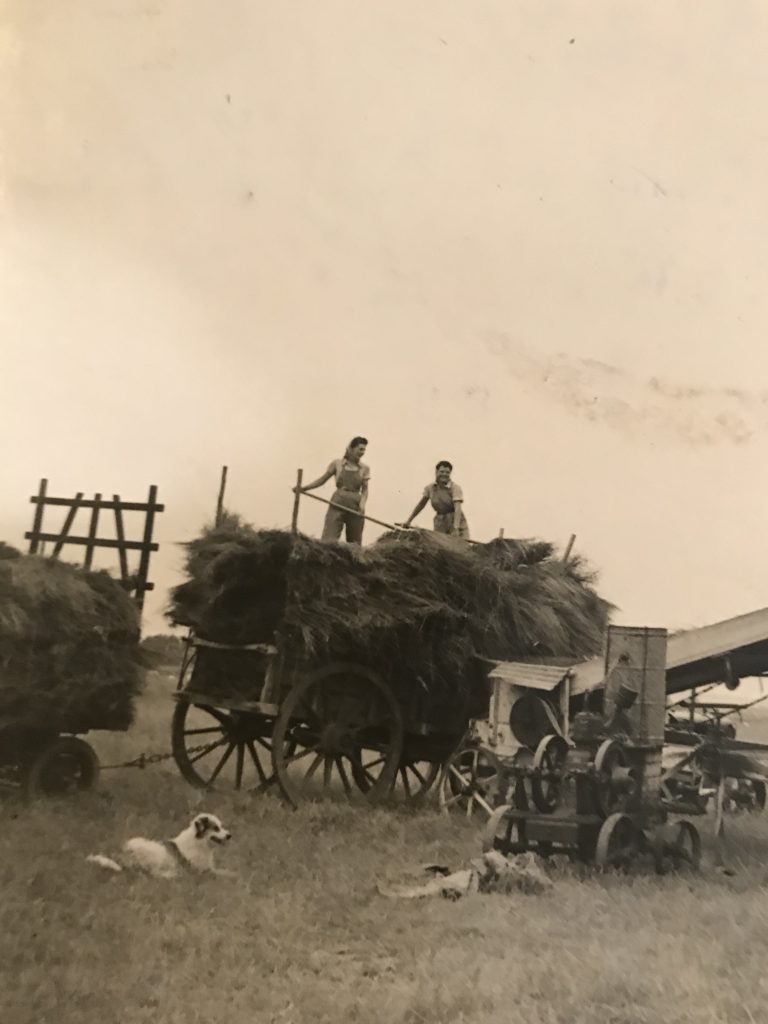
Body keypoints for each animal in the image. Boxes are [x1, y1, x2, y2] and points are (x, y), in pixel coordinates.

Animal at [86, 815, 233, 880]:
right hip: (152, 852)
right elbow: (225, 872)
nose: (229, 835)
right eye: (216, 828)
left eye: (222, 826)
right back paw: (172, 875)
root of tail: (123, 854)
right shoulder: (202, 871)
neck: (199, 842)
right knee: (151, 873)